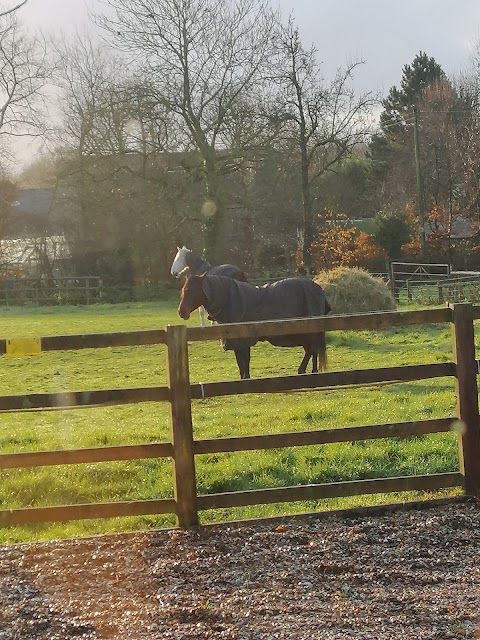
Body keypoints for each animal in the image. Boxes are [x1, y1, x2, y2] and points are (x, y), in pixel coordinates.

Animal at [178, 272, 332, 380]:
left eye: (193, 291)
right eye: (184, 290)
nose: (181, 312)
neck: (228, 300)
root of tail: (318, 289)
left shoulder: (242, 342)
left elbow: (244, 362)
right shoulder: (239, 343)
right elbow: (242, 364)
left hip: (309, 332)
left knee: (312, 350)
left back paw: (304, 371)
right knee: (312, 351)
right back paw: (310, 371)